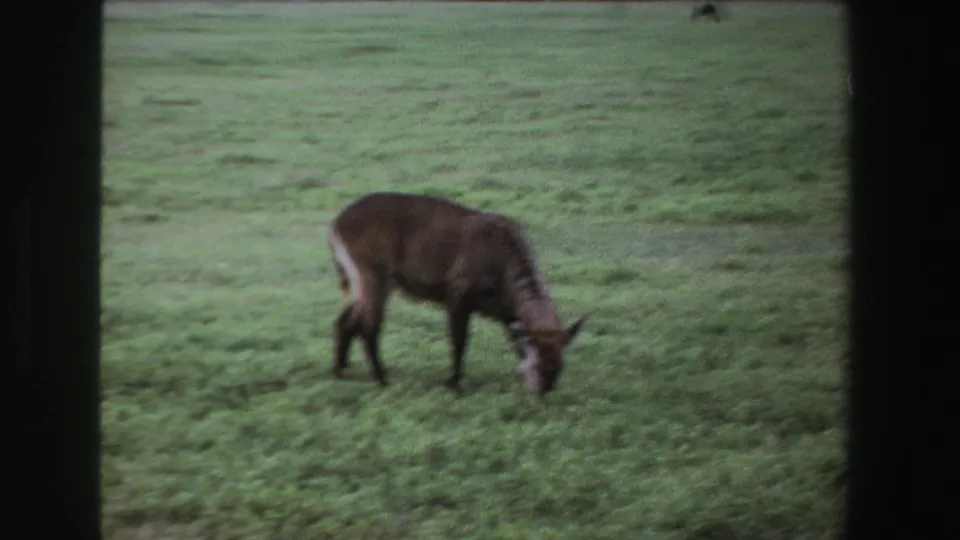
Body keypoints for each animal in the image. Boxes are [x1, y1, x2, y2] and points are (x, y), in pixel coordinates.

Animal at [326, 192, 587, 395]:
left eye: (560, 365)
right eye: (538, 365)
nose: (544, 390)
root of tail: (335, 225)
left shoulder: (504, 313)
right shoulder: (458, 296)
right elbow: (459, 341)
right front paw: (452, 383)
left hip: (365, 280)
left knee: (345, 320)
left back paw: (340, 369)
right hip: (373, 274)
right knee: (368, 327)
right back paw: (381, 378)